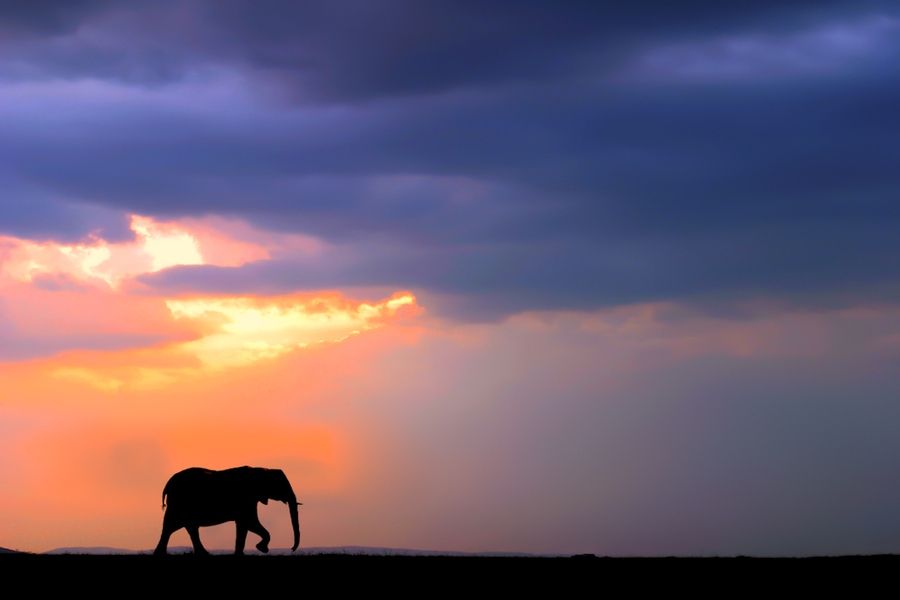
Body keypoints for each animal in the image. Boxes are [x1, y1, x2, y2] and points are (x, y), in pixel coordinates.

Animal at [151, 466, 298, 556]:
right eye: (281, 485)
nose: (291, 549)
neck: (262, 469)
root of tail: (167, 484)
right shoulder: (245, 499)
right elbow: (250, 522)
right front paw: (261, 548)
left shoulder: (249, 500)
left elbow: (244, 525)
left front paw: (241, 554)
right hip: (179, 503)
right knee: (171, 526)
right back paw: (159, 555)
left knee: (188, 527)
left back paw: (204, 554)